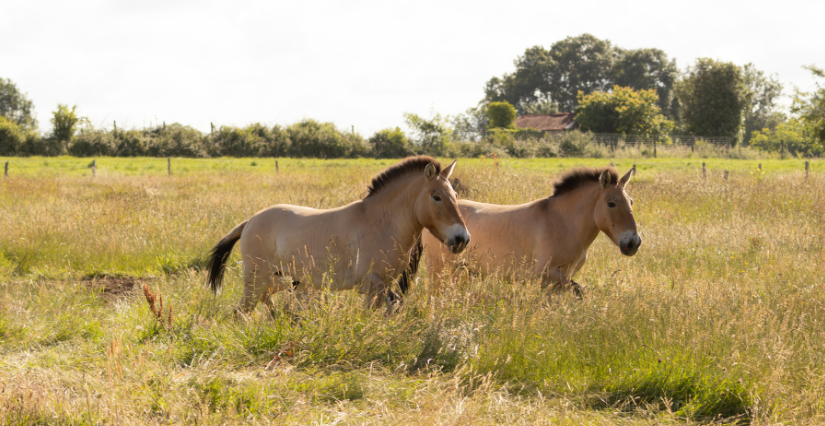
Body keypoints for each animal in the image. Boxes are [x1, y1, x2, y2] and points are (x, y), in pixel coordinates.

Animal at [206, 156, 470, 312]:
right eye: (436, 196)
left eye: (456, 195)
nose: (462, 239)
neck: (381, 224)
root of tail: (249, 221)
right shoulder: (373, 287)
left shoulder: (386, 286)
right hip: (257, 281)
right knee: (242, 311)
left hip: (277, 280)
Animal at [422, 166, 640, 295]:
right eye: (611, 203)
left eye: (631, 201)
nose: (633, 243)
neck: (562, 223)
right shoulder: (548, 276)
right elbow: (580, 291)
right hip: (440, 271)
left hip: (461, 273)